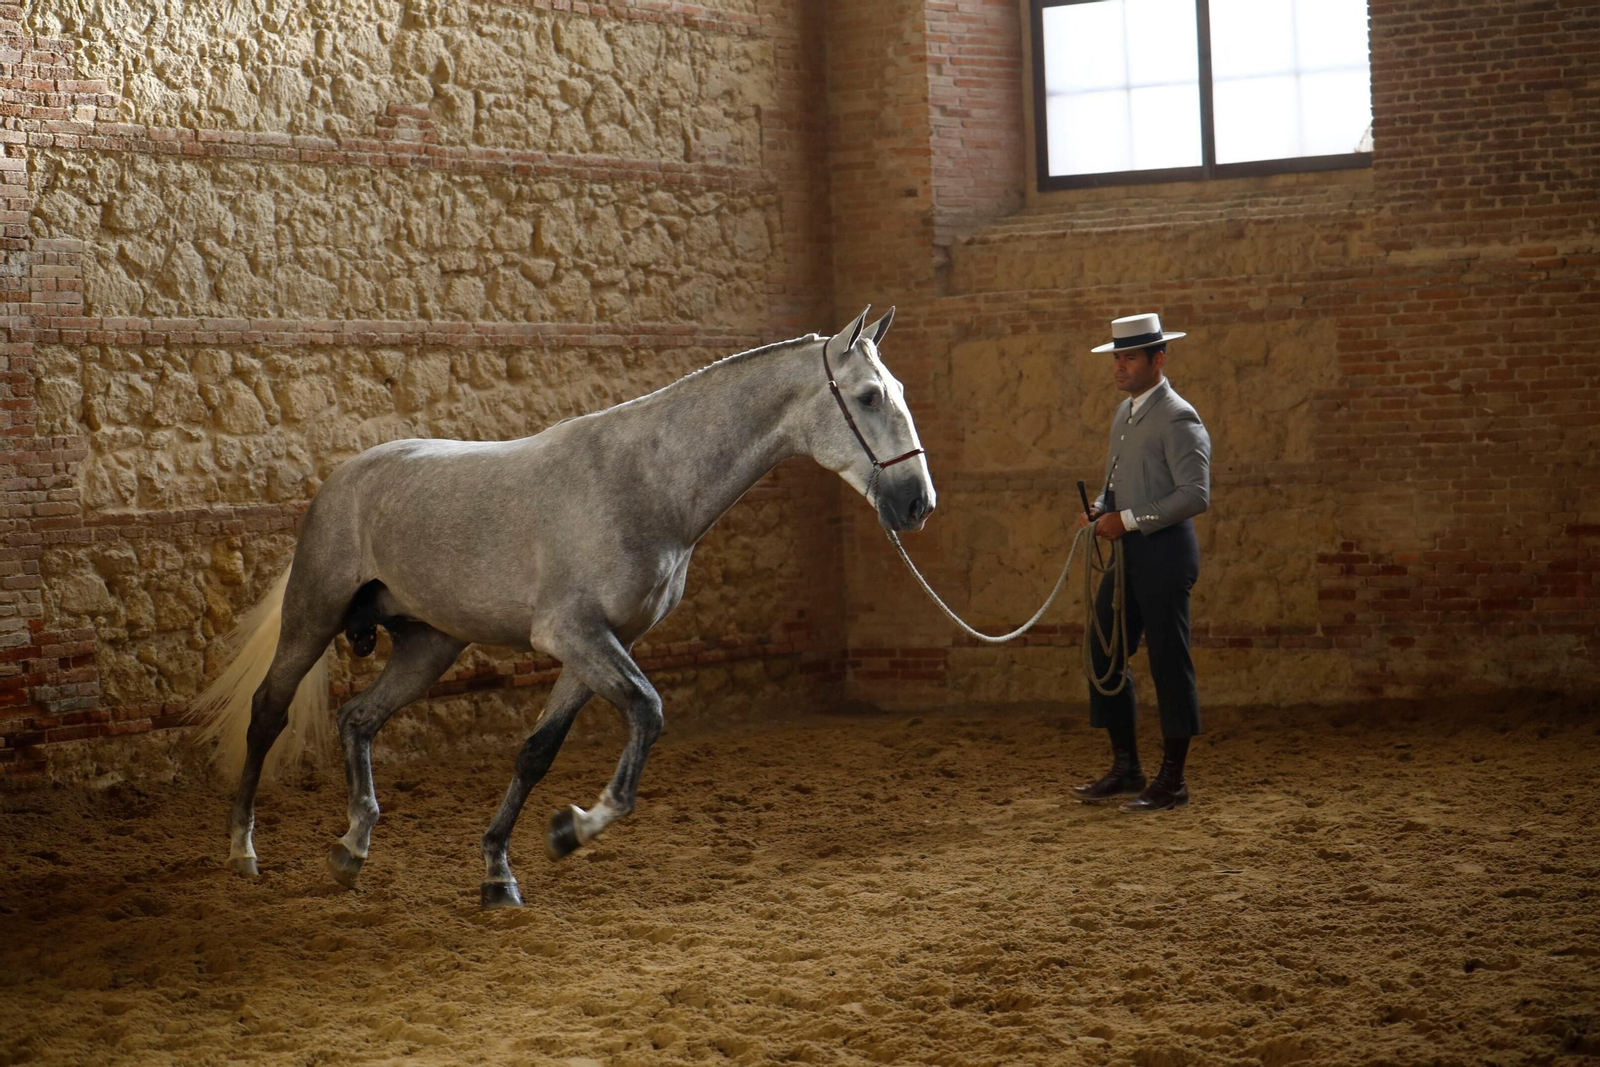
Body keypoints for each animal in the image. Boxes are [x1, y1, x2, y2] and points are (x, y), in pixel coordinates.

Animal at [191, 306, 936, 907]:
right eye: (869, 396)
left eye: (900, 392)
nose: (916, 503)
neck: (646, 482)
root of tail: (343, 478)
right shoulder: (573, 634)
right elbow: (647, 712)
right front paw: (573, 828)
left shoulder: (599, 646)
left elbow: (536, 752)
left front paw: (500, 871)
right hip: (312, 619)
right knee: (267, 714)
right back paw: (242, 849)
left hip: (431, 644)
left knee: (357, 719)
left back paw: (352, 847)